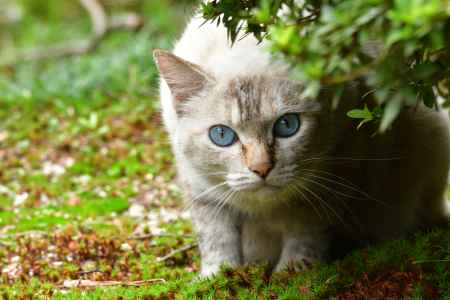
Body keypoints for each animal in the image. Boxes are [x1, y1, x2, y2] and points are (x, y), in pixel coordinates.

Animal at [152, 14, 450, 276]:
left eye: (287, 125)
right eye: (222, 136)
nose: (261, 169)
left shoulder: (333, 176)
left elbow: (306, 233)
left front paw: (293, 274)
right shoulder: (201, 187)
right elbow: (215, 236)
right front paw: (219, 277)